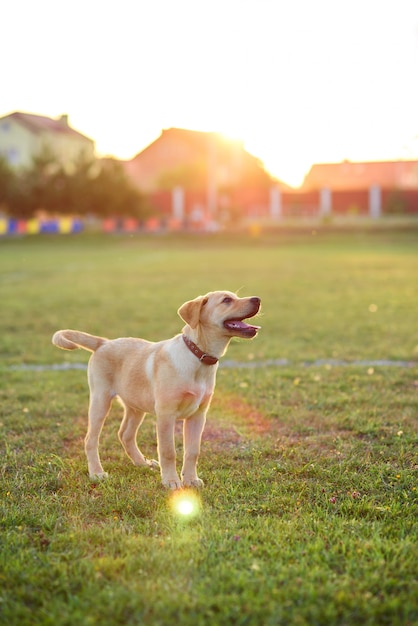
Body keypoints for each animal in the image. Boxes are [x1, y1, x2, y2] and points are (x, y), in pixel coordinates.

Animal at [52, 288, 262, 488]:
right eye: (226, 300)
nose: (258, 299)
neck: (197, 357)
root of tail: (103, 342)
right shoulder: (166, 415)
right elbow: (168, 451)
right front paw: (171, 481)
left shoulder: (198, 415)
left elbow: (193, 451)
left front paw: (191, 479)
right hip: (100, 399)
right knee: (90, 439)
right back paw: (97, 473)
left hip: (135, 405)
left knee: (125, 435)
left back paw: (142, 463)